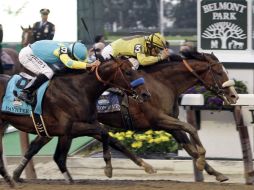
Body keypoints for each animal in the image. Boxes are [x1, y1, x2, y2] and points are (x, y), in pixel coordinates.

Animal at [0, 58, 153, 187]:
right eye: (128, 72)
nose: (146, 94)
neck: (79, 90)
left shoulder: (86, 124)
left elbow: (114, 141)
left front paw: (145, 165)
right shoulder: (69, 129)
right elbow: (60, 157)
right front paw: (107, 169)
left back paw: (11, 179)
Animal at [11, 52, 238, 183]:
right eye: (219, 71)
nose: (234, 96)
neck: (162, 83)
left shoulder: (169, 124)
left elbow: (189, 147)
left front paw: (216, 172)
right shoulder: (159, 120)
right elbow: (190, 130)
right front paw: (203, 160)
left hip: (54, 125)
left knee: (35, 145)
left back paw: (16, 175)